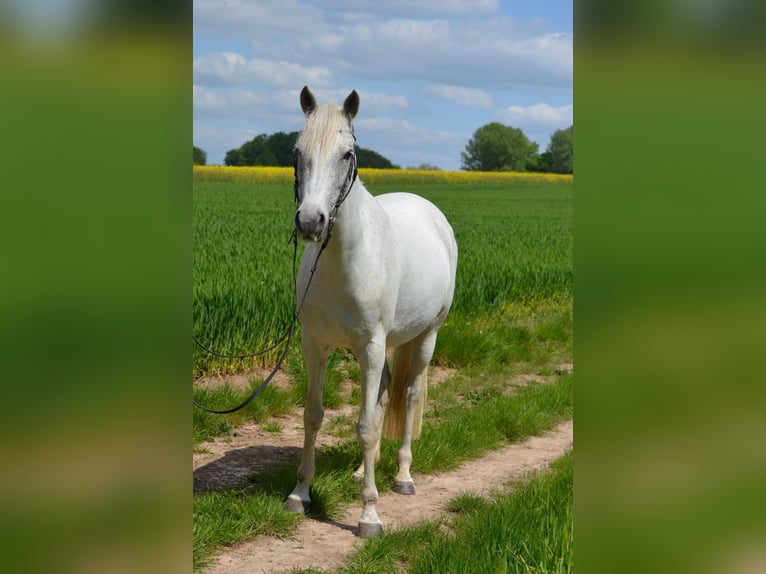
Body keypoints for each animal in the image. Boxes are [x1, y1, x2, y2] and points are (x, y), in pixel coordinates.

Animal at [286, 86, 456, 540]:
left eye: (347, 154)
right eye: (297, 151)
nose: (311, 222)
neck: (344, 258)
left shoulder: (372, 346)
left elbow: (363, 425)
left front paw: (369, 516)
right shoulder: (316, 346)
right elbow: (313, 416)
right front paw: (300, 494)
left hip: (425, 336)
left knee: (410, 395)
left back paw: (402, 477)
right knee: (382, 396)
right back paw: (366, 471)